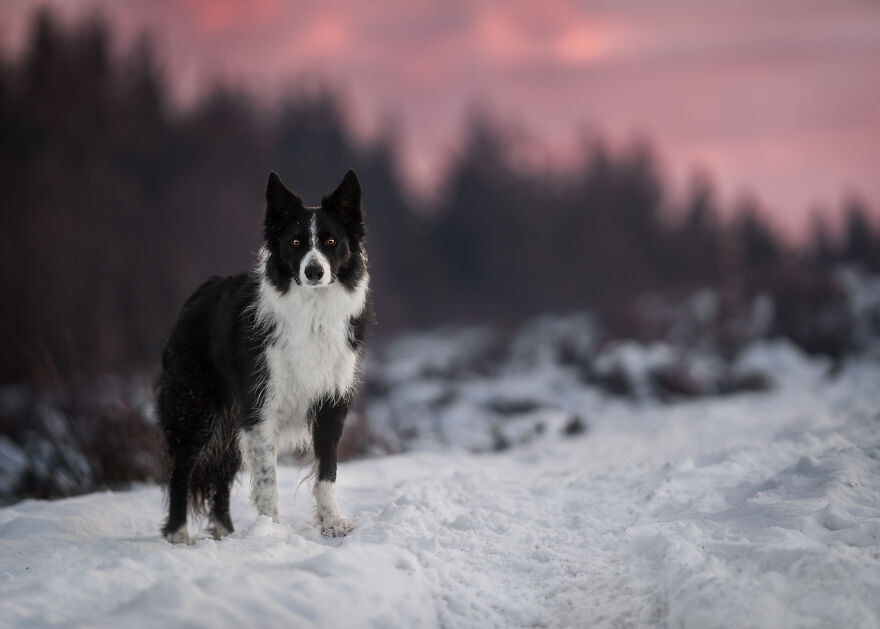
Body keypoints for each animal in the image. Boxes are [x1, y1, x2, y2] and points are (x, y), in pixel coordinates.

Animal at [156, 169, 370, 544]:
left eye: (331, 241)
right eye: (296, 243)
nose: (314, 272)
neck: (312, 312)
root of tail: (196, 295)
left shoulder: (331, 401)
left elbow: (327, 471)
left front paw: (333, 524)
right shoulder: (259, 409)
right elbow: (268, 481)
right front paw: (271, 532)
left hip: (228, 424)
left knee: (220, 476)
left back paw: (225, 533)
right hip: (196, 409)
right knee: (182, 470)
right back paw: (179, 534)